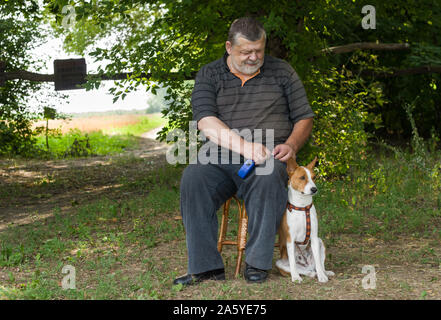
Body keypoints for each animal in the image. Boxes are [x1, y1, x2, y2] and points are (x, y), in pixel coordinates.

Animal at [276, 156, 334, 284]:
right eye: (302, 177)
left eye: (314, 177)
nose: (314, 189)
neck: (302, 207)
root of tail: (307, 265)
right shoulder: (290, 239)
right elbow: (292, 262)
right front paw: (295, 277)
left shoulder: (314, 237)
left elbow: (318, 261)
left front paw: (322, 276)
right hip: (279, 263)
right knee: (303, 270)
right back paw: (307, 274)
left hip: (320, 241)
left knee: (318, 265)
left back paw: (324, 272)